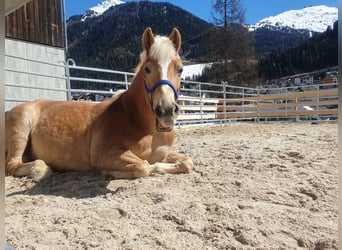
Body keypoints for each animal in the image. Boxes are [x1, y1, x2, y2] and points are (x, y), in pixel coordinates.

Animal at [5, 27, 194, 182]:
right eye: (147, 69)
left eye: (180, 69)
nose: (166, 111)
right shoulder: (105, 153)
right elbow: (144, 165)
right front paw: (107, 172)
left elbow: (187, 162)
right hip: (21, 129)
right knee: (12, 165)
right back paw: (40, 169)